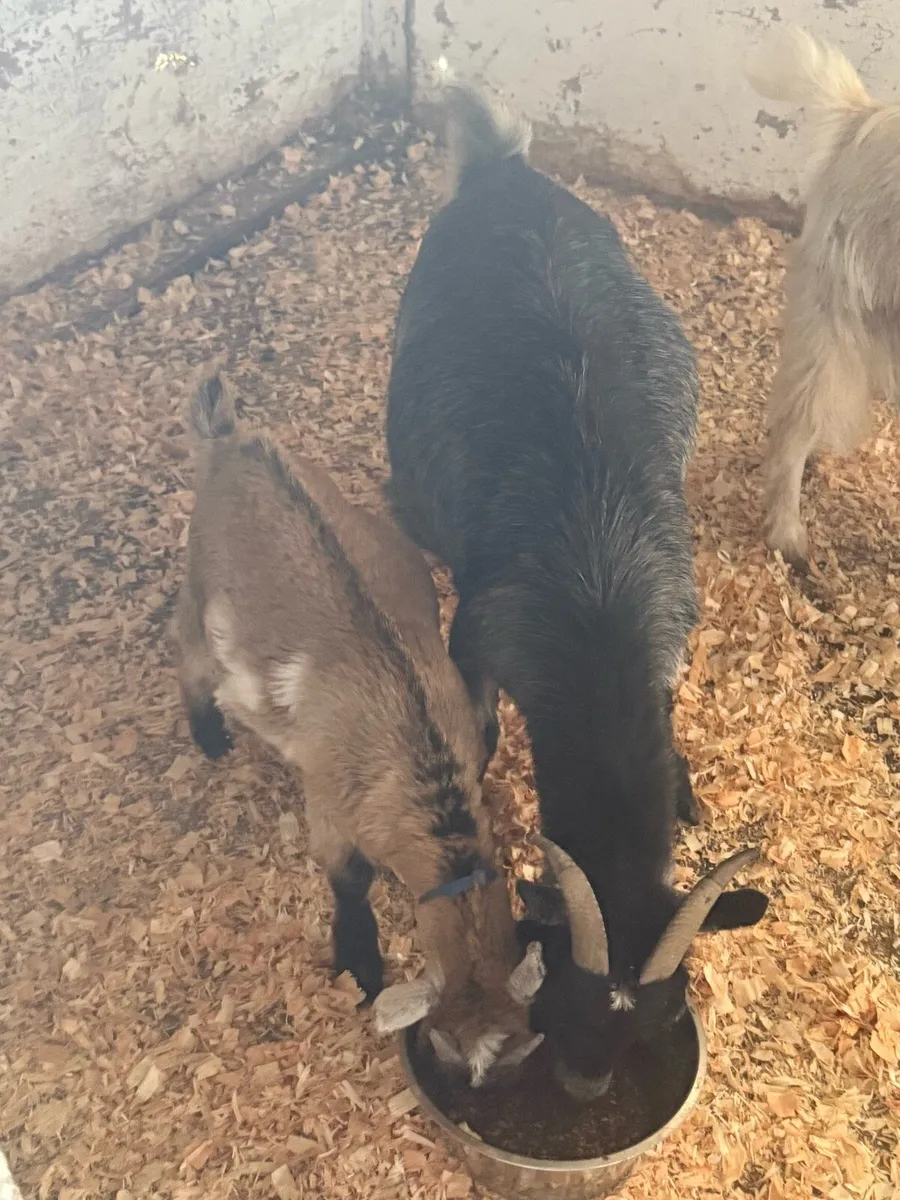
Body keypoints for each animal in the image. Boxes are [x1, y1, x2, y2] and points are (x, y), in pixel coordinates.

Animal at [173, 372, 544, 1085]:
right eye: (444, 1052)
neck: (418, 759)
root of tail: (232, 441)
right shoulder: (328, 791)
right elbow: (346, 877)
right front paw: (361, 964)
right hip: (201, 594)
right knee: (189, 658)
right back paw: (208, 737)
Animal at [385, 86, 769, 1098]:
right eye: (558, 990)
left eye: (667, 1014)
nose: (585, 1087)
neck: (597, 615)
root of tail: (503, 171)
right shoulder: (484, 638)